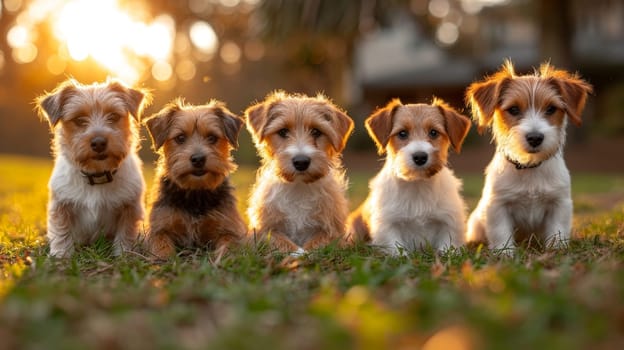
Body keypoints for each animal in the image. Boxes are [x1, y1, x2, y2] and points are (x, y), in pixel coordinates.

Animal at [36, 78, 151, 258]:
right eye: (79, 120)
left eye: (113, 116)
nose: (99, 142)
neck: (97, 175)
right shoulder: (61, 206)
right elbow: (62, 232)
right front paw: (61, 256)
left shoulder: (130, 208)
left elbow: (126, 234)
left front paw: (123, 256)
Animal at [144, 99, 246, 260]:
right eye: (180, 138)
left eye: (212, 137)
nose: (198, 159)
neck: (196, 192)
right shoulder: (159, 227)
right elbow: (161, 243)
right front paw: (164, 257)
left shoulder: (230, 228)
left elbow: (229, 244)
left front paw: (223, 257)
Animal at [247, 91, 356, 253]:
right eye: (283, 131)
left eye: (316, 131)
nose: (301, 162)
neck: (299, 188)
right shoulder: (262, 231)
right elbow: (280, 241)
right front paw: (296, 252)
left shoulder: (334, 233)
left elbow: (317, 243)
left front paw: (305, 252)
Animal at [346, 98, 472, 254]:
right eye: (402, 133)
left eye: (433, 132)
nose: (420, 157)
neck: (417, 185)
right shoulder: (387, 223)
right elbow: (395, 247)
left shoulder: (449, 220)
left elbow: (448, 244)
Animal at [466, 60, 592, 252]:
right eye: (514, 109)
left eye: (551, 109)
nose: (535, 138)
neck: (529, 167)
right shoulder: (498, 205)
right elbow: (501, 232)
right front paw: (505, 253)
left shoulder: (560, 203)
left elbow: (557, 230)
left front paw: (557, 250)